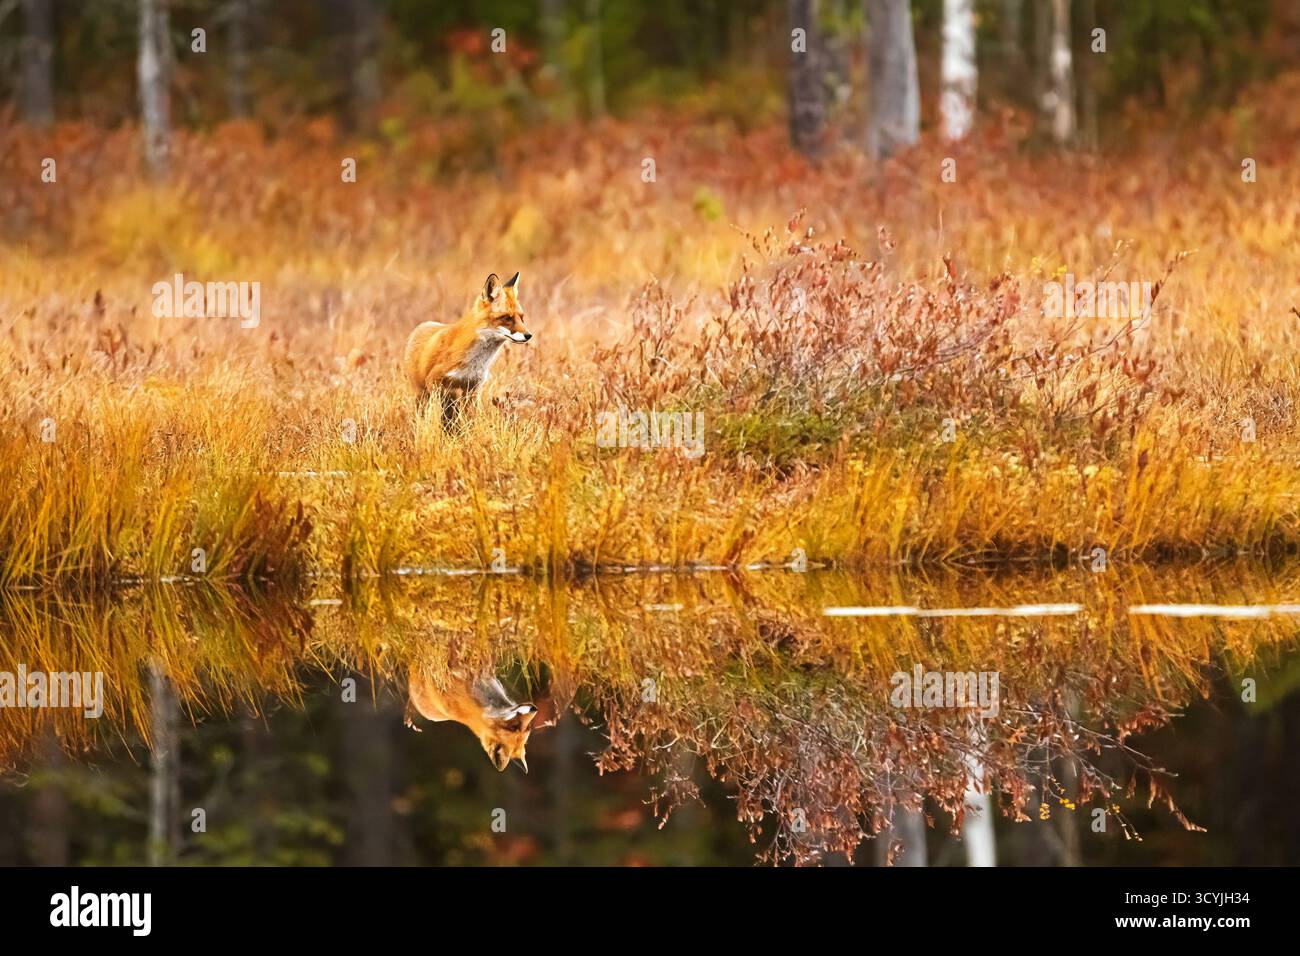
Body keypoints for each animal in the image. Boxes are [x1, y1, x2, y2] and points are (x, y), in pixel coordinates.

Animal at [402, 271, 532, 423]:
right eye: (507, 318)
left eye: (522, 318)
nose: (529, 335)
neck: (475, 361)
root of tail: (422, 325)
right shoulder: (435, 381)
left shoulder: (473, 388)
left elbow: (471, 419)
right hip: (423, 394)